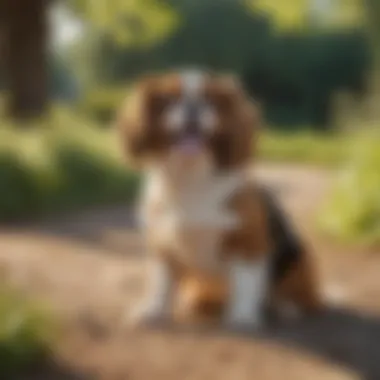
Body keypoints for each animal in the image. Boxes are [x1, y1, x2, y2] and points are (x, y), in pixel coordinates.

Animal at [117, 69, 322, 330]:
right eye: (170, 98)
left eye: (210, 100)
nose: (193, 106)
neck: (191, 179)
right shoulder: (162, 245)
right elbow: (160, 286)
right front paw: (154, 311)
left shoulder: (248, 245)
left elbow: (246, 285)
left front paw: (243, 318)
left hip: (299, 260)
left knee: (297, 298)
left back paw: (287, 308)